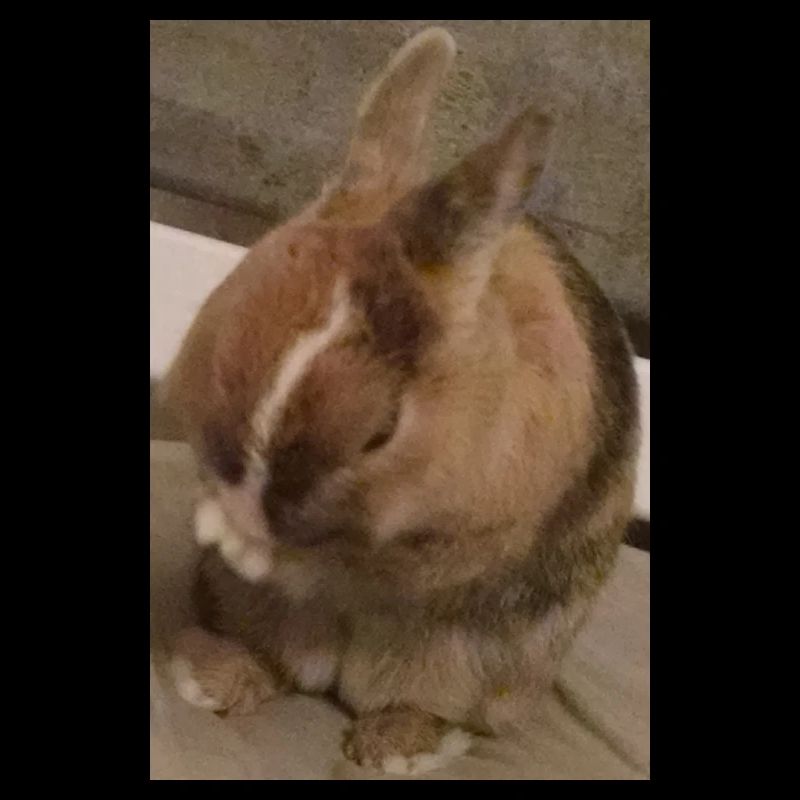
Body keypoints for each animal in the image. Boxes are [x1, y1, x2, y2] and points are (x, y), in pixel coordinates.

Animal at [160, 26, 640, 775]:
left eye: (380, 431)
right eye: (231, 317)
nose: (246, 502)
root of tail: (340, 671)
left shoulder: (452, 544)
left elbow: (346, 561)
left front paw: (246, 542)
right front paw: (222, 523)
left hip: (481, 664)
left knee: (439, 708)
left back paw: (394, 747)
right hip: (247, 613)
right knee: (275, 663)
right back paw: (212, 675)